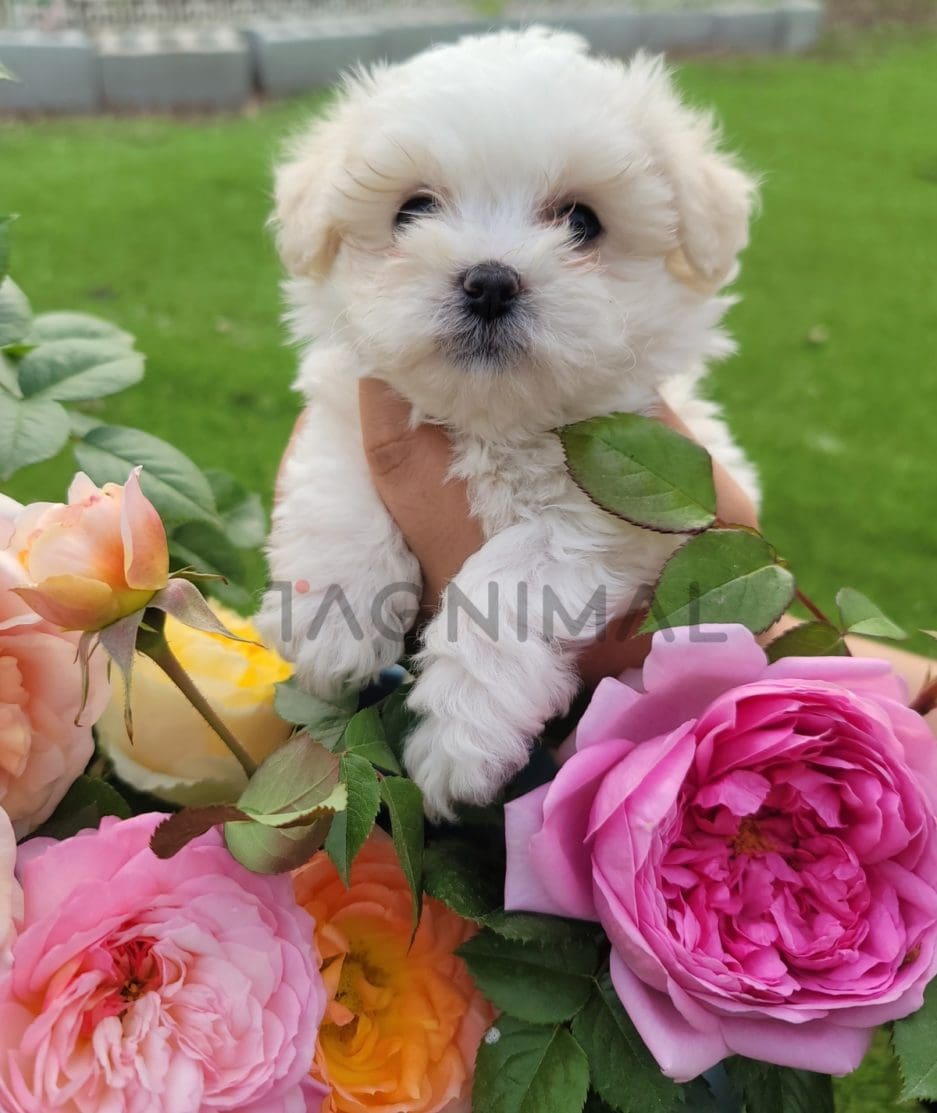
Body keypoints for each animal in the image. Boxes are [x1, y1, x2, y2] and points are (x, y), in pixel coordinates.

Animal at [257, 28, 761, 819]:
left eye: (582, 222)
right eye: (411, 211)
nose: (489, 281)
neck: (490, 421)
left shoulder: (628, 493)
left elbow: (513, 576)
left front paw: (462, 730)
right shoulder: (354, 401)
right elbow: (337, 483)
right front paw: (331, 619)